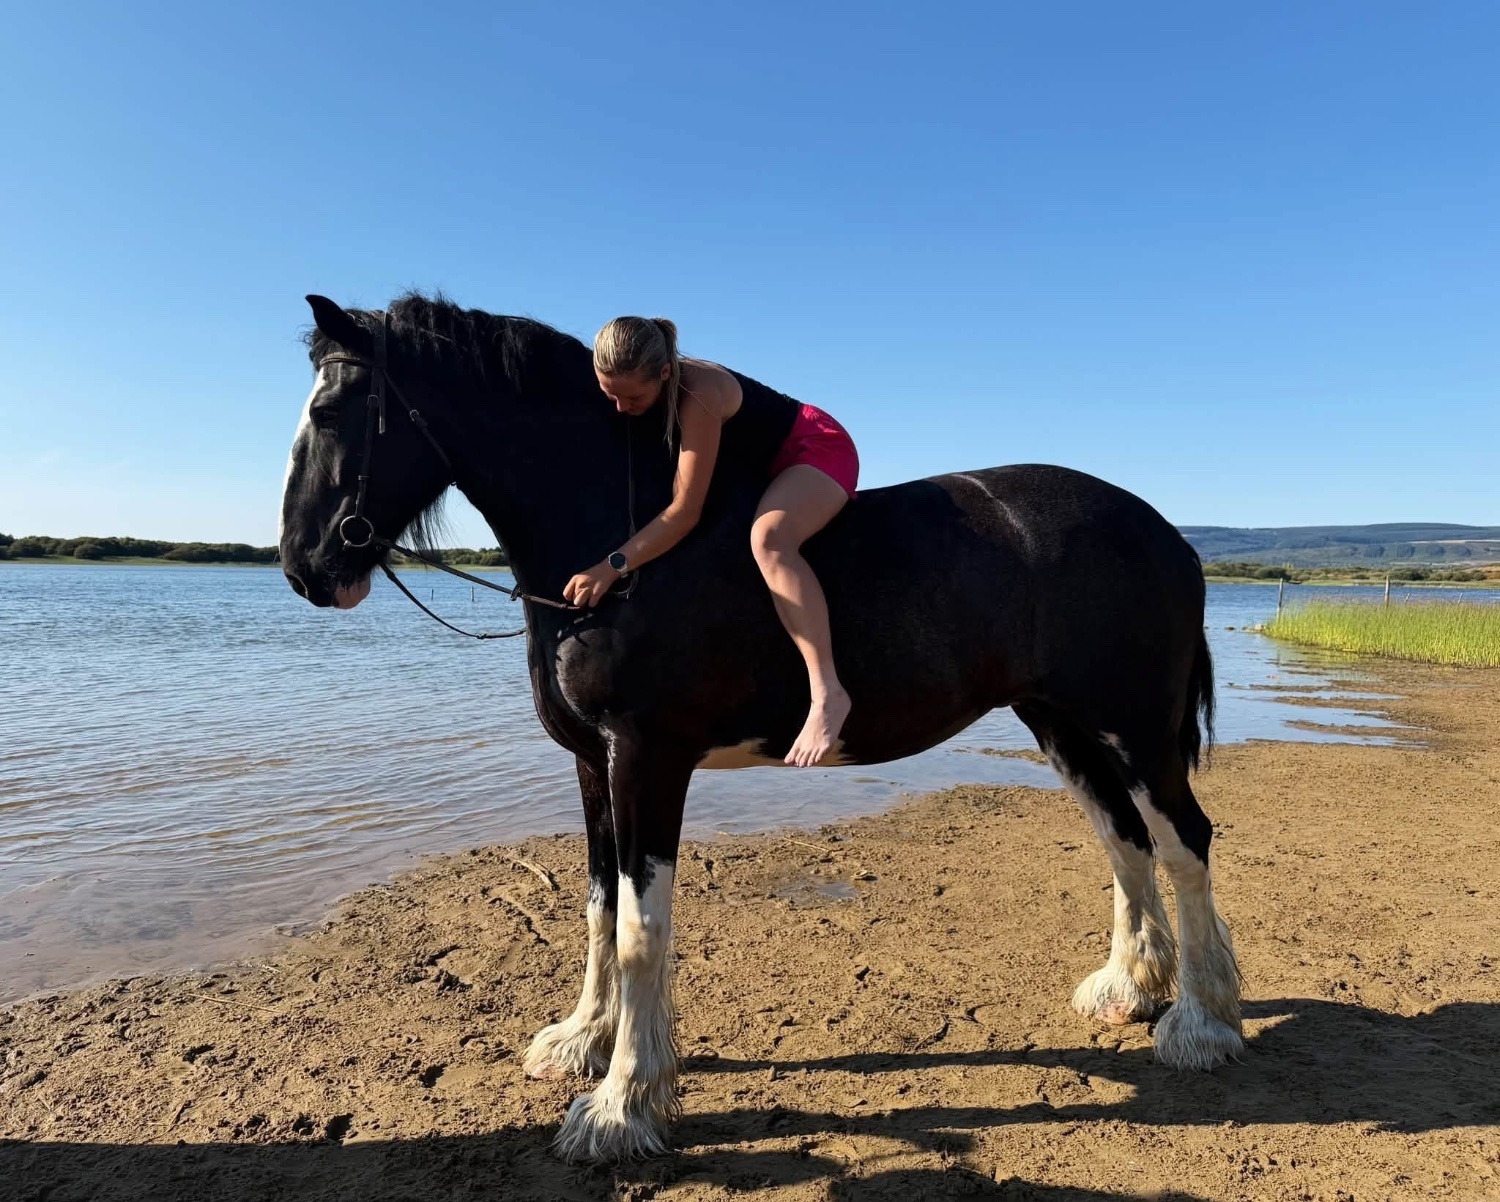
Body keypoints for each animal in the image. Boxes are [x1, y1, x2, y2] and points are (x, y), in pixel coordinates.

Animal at [278, 293, 1242, 1163]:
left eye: (329, 412)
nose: (302, 568)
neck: (619, 539)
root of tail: (1167, 533)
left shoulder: (647, 762)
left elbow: (640, 928)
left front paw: (622, 1107)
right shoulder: (593, 766)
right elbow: (597, 908)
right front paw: (584, 1041)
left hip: (1135, 731)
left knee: (1182, 839)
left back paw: (1202, 1024)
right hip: (1063, 725)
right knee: (1123, 839)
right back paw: (1131, 987)